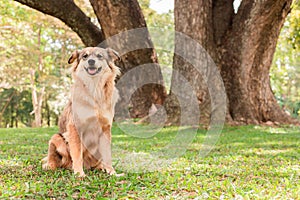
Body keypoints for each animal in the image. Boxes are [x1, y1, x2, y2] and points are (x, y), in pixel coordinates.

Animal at [42, 47, 120, 177]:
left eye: (100, 56)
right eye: (85, 56)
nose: (91, 61)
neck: (94, 89)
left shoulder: (105, 128)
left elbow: (107, 154)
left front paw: (112, 172)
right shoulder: (75, 128)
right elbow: (77, 153)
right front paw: (79, 173)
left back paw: (101, 167)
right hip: (56, 138)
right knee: (54, 160)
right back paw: (51, 166)